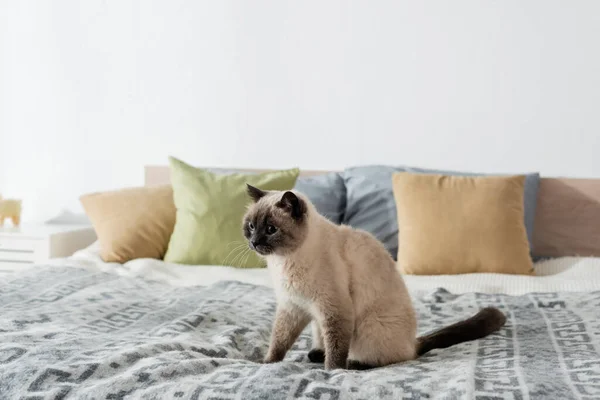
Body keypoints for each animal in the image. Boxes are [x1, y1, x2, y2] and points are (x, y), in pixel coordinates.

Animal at [241, 186, 504, 370]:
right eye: (251, 226)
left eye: (271, 230)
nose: (254, 242)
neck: (284, 262)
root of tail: (413, 343)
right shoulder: (293, 307)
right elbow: (279, 341)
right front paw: (267, 364)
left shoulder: (334, 310)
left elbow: (336, 350)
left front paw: (332, 373)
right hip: (317, 324)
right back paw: (316, 354)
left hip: (369, 326)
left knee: (384, 358)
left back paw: (353, 364)